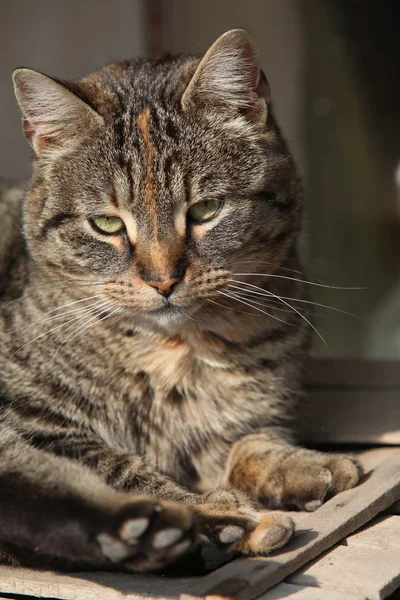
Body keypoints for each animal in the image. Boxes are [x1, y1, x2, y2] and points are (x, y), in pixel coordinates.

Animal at [0, 29, 362, 572]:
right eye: (106, 223)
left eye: (206, 210)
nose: (163, 280)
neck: (181, 351)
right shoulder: (30, 420)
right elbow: (120, 467)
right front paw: (217, 512)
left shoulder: (242, 421)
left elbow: (250, 443)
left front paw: (300, 465)